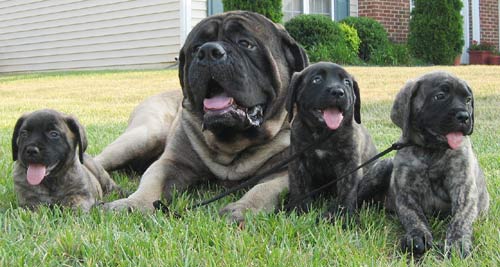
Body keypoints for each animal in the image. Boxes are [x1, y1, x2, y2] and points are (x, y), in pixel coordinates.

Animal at [96, 11, 308, 222]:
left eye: (245, 43)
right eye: (196, 48)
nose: (208, 51)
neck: (232, 145)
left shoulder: (286, 169)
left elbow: (265, 188)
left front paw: (243, 209)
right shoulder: (172, 163)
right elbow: (153, 181)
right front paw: (131, 204)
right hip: (145, 135)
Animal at [284, 62, 376, 220]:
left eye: (347, 82)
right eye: (317, 79)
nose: (338, 92)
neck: (322, 134)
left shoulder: (349, 164)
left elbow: (347, 190)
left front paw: (343, 216)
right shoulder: (298, 161)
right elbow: (299, 186)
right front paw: (299, 210)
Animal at [358, 70, 490, 258]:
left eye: (468, 100)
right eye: (440, 96)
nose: (465, 117)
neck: (431, 151)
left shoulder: (463, 188)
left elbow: (460, 218)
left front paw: (457, 243)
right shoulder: (406, 193)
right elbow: (414, 216)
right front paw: (417, 236)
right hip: (382, 168)